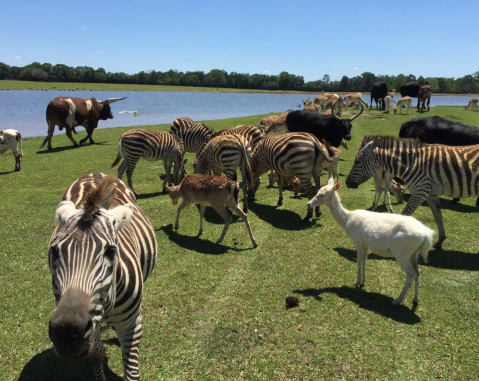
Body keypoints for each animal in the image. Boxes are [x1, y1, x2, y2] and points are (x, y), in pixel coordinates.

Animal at [47, 173, 157, 380]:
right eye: (54, 252)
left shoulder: (132, 324)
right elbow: (97, 352)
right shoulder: (92, 324)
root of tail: (95, 174)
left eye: (111, 251)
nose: (67, 332)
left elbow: (131, 370)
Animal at [346, 135, 479, 248]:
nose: (347, 182)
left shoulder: (420, 192)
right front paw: (440, 241)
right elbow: (438, 216)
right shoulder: (431, 194)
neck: (412, 164)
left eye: (357, 161)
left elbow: (404, 215)